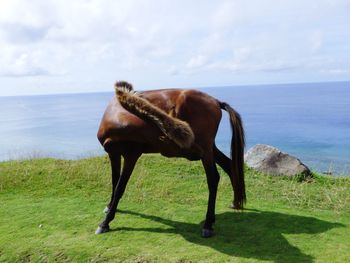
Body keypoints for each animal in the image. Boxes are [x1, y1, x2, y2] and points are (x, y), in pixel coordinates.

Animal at [94, 81, 245, 238]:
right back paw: (234, 202)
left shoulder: (131, 155)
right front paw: (109, 207)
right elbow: (114, 182)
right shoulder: (114, 154)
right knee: (229, 165)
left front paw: (105, 222)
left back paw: (208, 224)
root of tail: (216, 101)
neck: (117, 115)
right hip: (210, 148)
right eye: (182, 135)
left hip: (207, 149)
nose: (196, 153)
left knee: (213, 178)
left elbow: (119, 187)